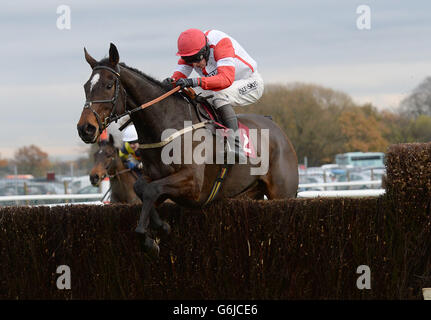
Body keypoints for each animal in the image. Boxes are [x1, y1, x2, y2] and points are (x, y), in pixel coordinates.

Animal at [77, 44, 298, 255]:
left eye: (108, 85)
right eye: (86, 87)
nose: (85, 128)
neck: (166, 127)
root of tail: (277, 129)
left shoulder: (192, 184)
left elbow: (151, 190)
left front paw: (158, 230)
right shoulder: (154, 178)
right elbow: (142, 188)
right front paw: (152, 233)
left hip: (283, 192)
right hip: (249, 193)